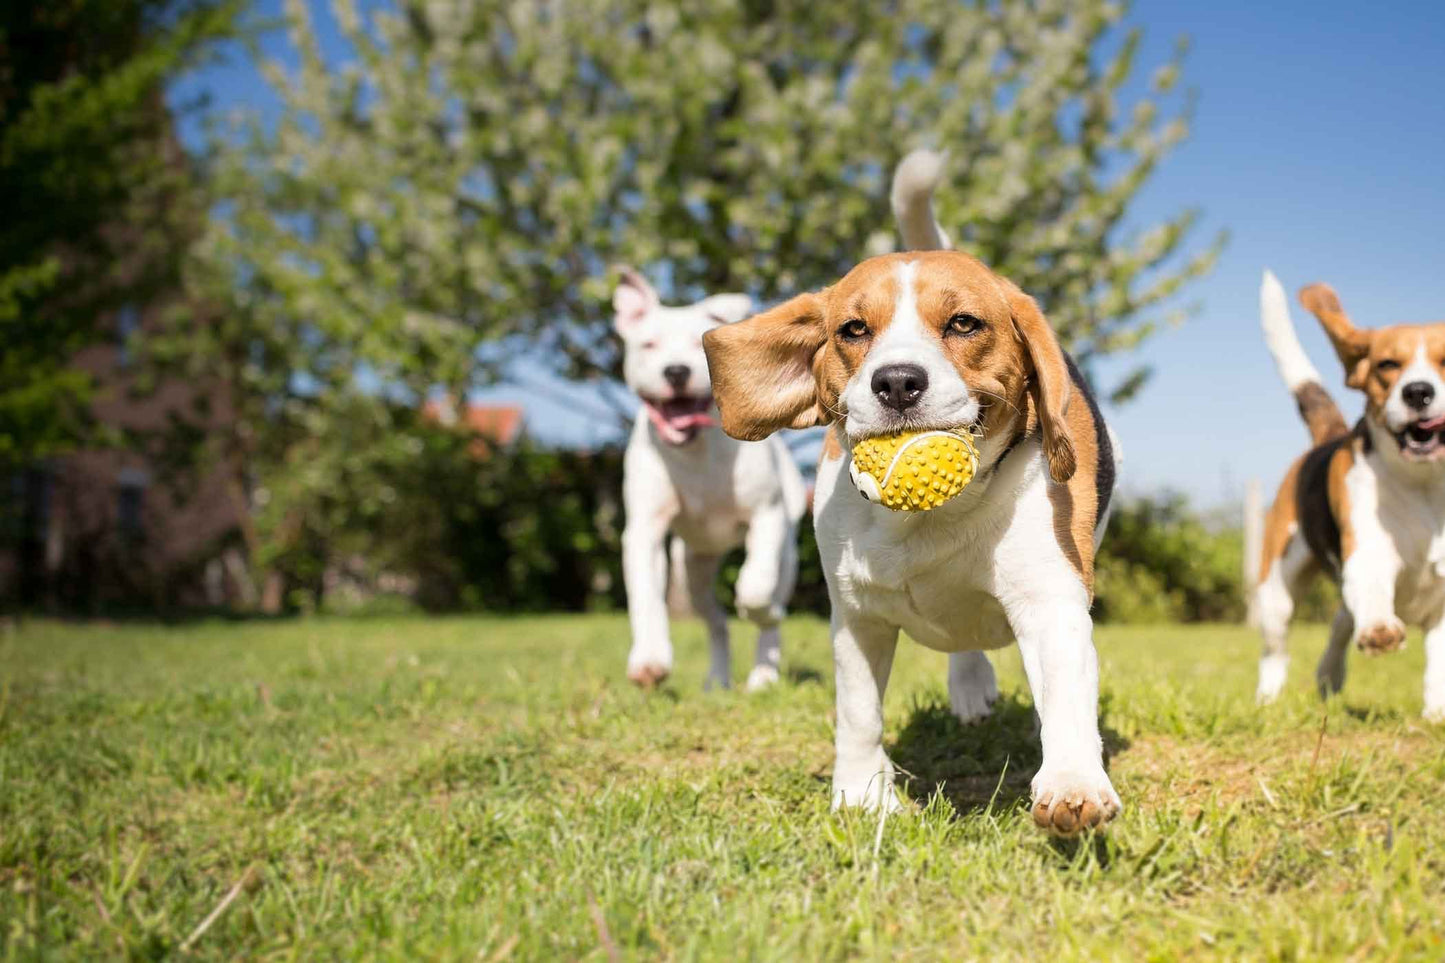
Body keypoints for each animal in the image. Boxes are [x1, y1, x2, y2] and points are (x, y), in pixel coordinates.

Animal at [612, 264, 814, 691]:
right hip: (693, 569)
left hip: (787, 551)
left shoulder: (767, 516)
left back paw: (763, 674)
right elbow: (645, 597)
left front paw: (760, 609)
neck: (696, 450)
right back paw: (718, 680)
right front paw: (649, 660)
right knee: (716, 622)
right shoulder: (644, 530)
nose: (676, 371)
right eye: (648, 345)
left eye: (697, 344)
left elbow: (755, 587)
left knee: (769, 605)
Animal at [699, 151, 1127, 832]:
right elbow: (858, 714)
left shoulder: (1050, 600)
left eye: (964, 323)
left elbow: (1064, 698)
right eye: (852, 329)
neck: (929, 520)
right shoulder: (856, 617)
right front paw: (860, 796)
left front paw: (1072, 784)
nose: (897, 381)